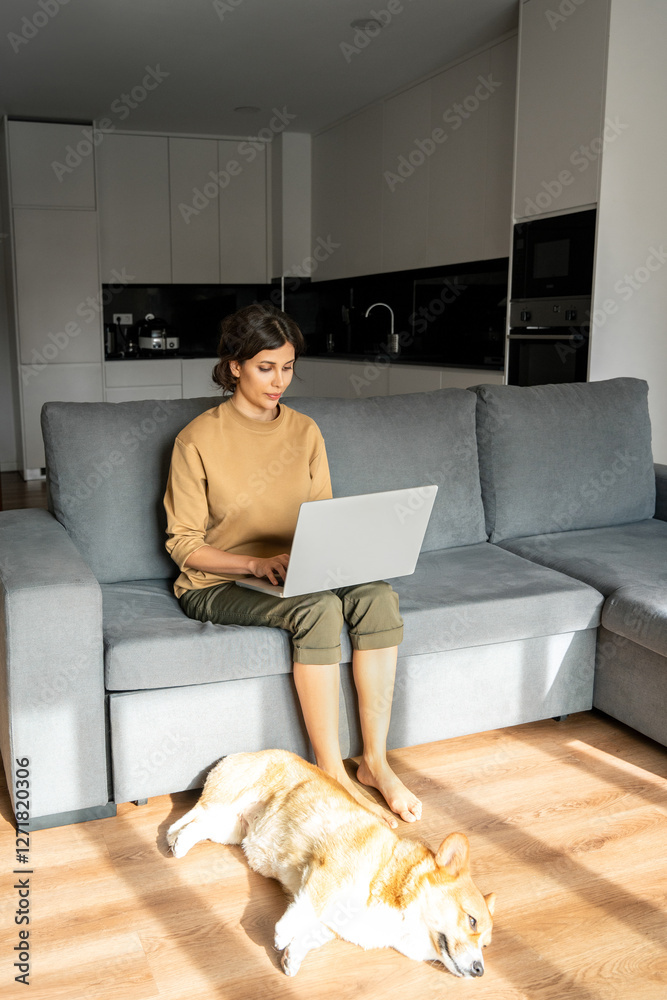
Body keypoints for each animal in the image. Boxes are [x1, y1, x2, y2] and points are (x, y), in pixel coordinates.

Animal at [167, 752, 496, 976]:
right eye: (471, 921)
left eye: (486, 945)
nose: (480, 970)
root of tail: (242, 753)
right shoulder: (330, 869)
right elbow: (308, 906)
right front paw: (283, 934)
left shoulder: (335, 922)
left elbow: (313, 934)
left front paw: (293, 957)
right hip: (226, 803)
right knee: (195, 817)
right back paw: (176, 842)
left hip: (230, 829)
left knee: (197, 825)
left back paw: (177, 840)